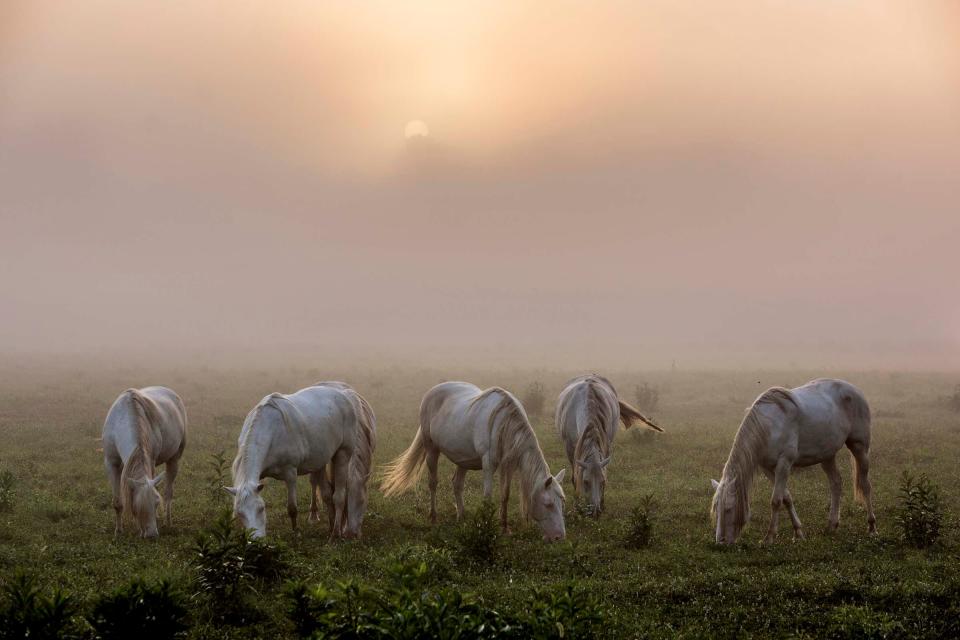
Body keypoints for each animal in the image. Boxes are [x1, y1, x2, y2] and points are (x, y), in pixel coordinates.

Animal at [104, 388, 188, 536]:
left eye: (156, 503)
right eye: (136, 506)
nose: (152, 534)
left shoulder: (151, 460)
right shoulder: (111, 464)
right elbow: (118, 502)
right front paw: (118, 531)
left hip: (174, 459)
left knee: (168, 493)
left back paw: (168, 522)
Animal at [227, 382, 374, 536]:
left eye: (261, 508)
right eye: (239, 513)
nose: (256, 539)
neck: (271, 431)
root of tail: (345, 394)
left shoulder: (290, 473)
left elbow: (292, 507)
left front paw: (296, 532)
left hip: (343, 454)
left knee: (339, 495)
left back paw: (335, 532)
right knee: (327, 493)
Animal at [378, 382, 568, 544]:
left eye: (562, 502)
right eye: (548, 504)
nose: (559, 537)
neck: (503, 423)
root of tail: (432, 391)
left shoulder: (508, 466)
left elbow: (505, 496)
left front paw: (504, 527)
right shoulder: (488, 464)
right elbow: (487, 497)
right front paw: (486, 526)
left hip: (463, 460)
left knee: (457, 484)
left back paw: (461, 516)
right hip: (431, 449)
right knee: (433, 483)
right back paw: (433, 516)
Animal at [556, 376, 660, 516]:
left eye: (603, 481)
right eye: (586, 482)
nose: (595, 512)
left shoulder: (606, 445)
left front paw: (602, 504)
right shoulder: (570, 448)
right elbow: (575, 477)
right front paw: (577, 507)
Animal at [708, 380, 872, 544]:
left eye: (729, 508)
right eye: (716, 509)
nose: (720, 541)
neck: (769, 426)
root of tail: (854, 389)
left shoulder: (784, 464)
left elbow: (776, 500)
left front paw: (769, 537)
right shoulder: (768, 468)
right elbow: (786, 498)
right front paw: (798, 533)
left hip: (859, 447)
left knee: (865, 485)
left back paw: (872, 527)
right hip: (827, 455)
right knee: (836, 483)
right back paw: (832, 525)